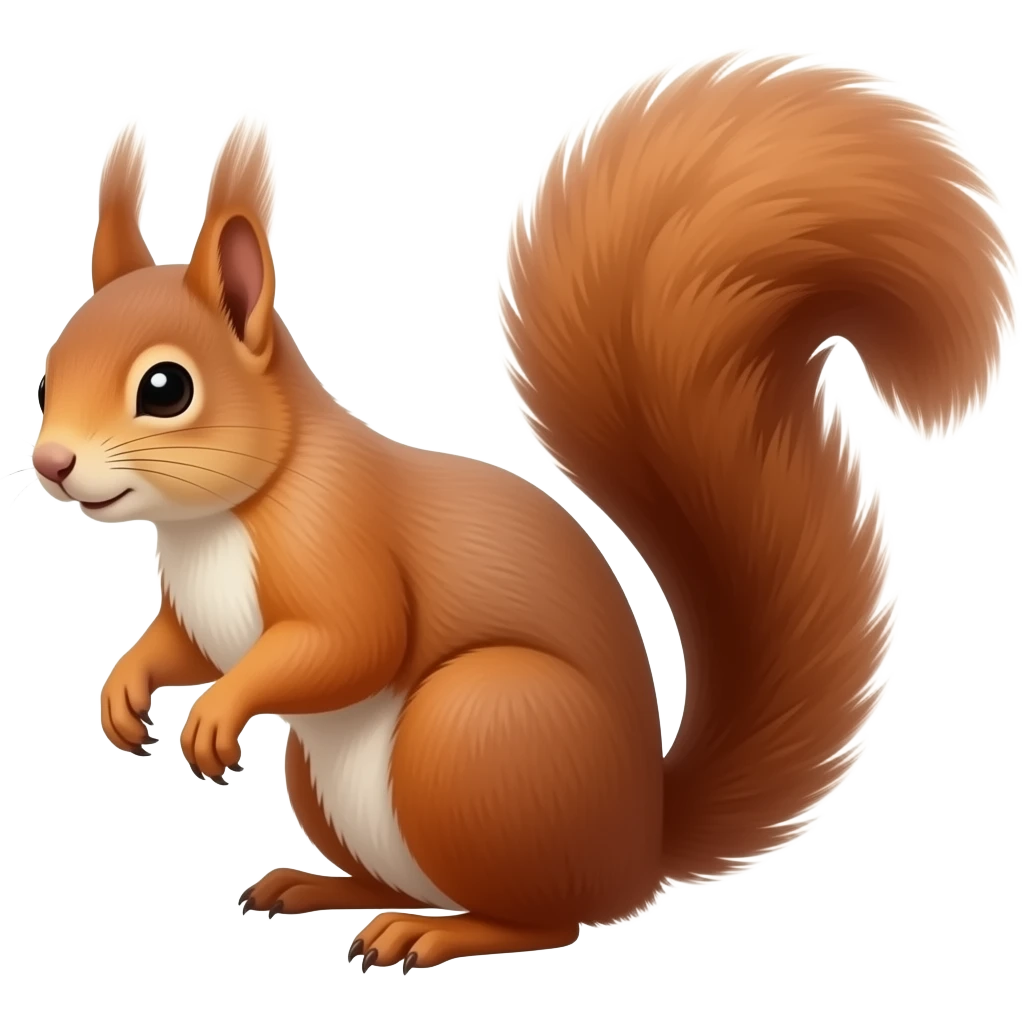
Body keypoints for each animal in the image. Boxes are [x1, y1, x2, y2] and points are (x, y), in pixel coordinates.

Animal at [35, 53, 1012, 973]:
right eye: (45, 378)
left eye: (166, 388)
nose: (52, 464)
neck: (213, 523)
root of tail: (639, 850)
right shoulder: (200, 607)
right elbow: (183, 644)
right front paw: (125, 688)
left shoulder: (340, 538)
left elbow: (351, 641)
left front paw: (217, 712)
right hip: (335, 778)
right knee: (410, 882)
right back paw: (322, 886)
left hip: (476, 732)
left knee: (546, 919)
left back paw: (435, 935)